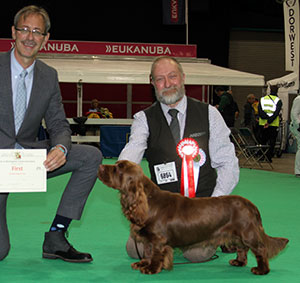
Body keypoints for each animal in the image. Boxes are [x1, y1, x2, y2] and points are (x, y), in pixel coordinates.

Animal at [98, 161, 288, 276]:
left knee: (260, 249)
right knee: (242, 249)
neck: (147, 202)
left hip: (247, 232)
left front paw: (151, 269)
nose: (100, 166)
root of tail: (251, 205)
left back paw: (261, 270)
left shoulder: (158, 239)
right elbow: (147, 252)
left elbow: (156, 254)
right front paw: (143, 264)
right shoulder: (148, 240)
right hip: (236, 235)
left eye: (117, 169)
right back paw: (238, 262)